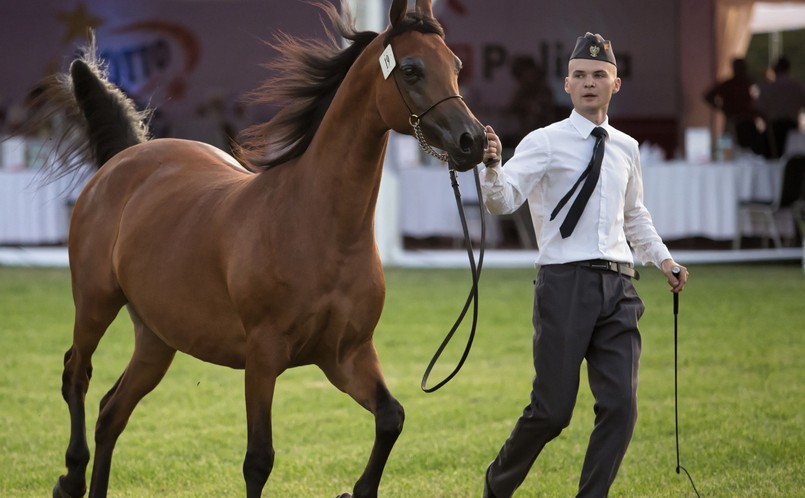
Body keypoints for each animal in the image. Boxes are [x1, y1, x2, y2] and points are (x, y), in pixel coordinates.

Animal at [40, 0, 480, 498]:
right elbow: (258, 460)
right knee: (76, 374)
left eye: (456, 66)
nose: (473, 141)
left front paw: (355, 489)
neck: (317, 225)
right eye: (410, 69)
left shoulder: (347, 355)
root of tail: (123, 160)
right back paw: (70, 477)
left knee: (111, 413)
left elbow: (391, 418)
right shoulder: (263, 357)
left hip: (156, 338)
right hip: (95, 302)